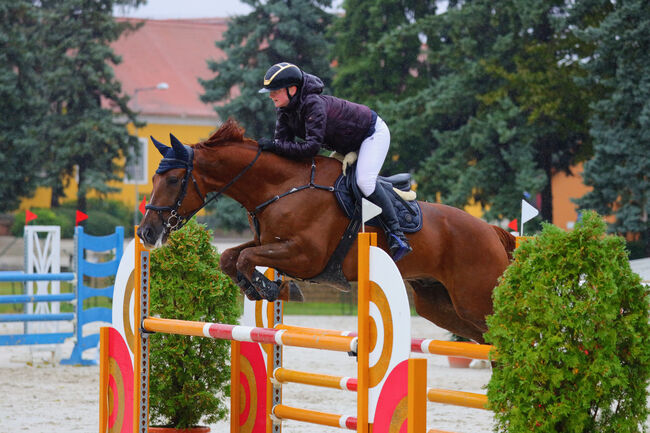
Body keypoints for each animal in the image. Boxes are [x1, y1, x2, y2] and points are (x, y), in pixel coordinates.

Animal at [135, 120, 512, 342]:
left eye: (173, 180)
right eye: (152, 178)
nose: (146, 233)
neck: (282, 186)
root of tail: (491, 231)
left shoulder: (305, 256)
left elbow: (245, 259)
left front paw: (276, 289)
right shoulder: (268, 242)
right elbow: (230, 257)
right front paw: (262, 288)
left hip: (474, 299)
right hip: (440, 304)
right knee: (486, 341)